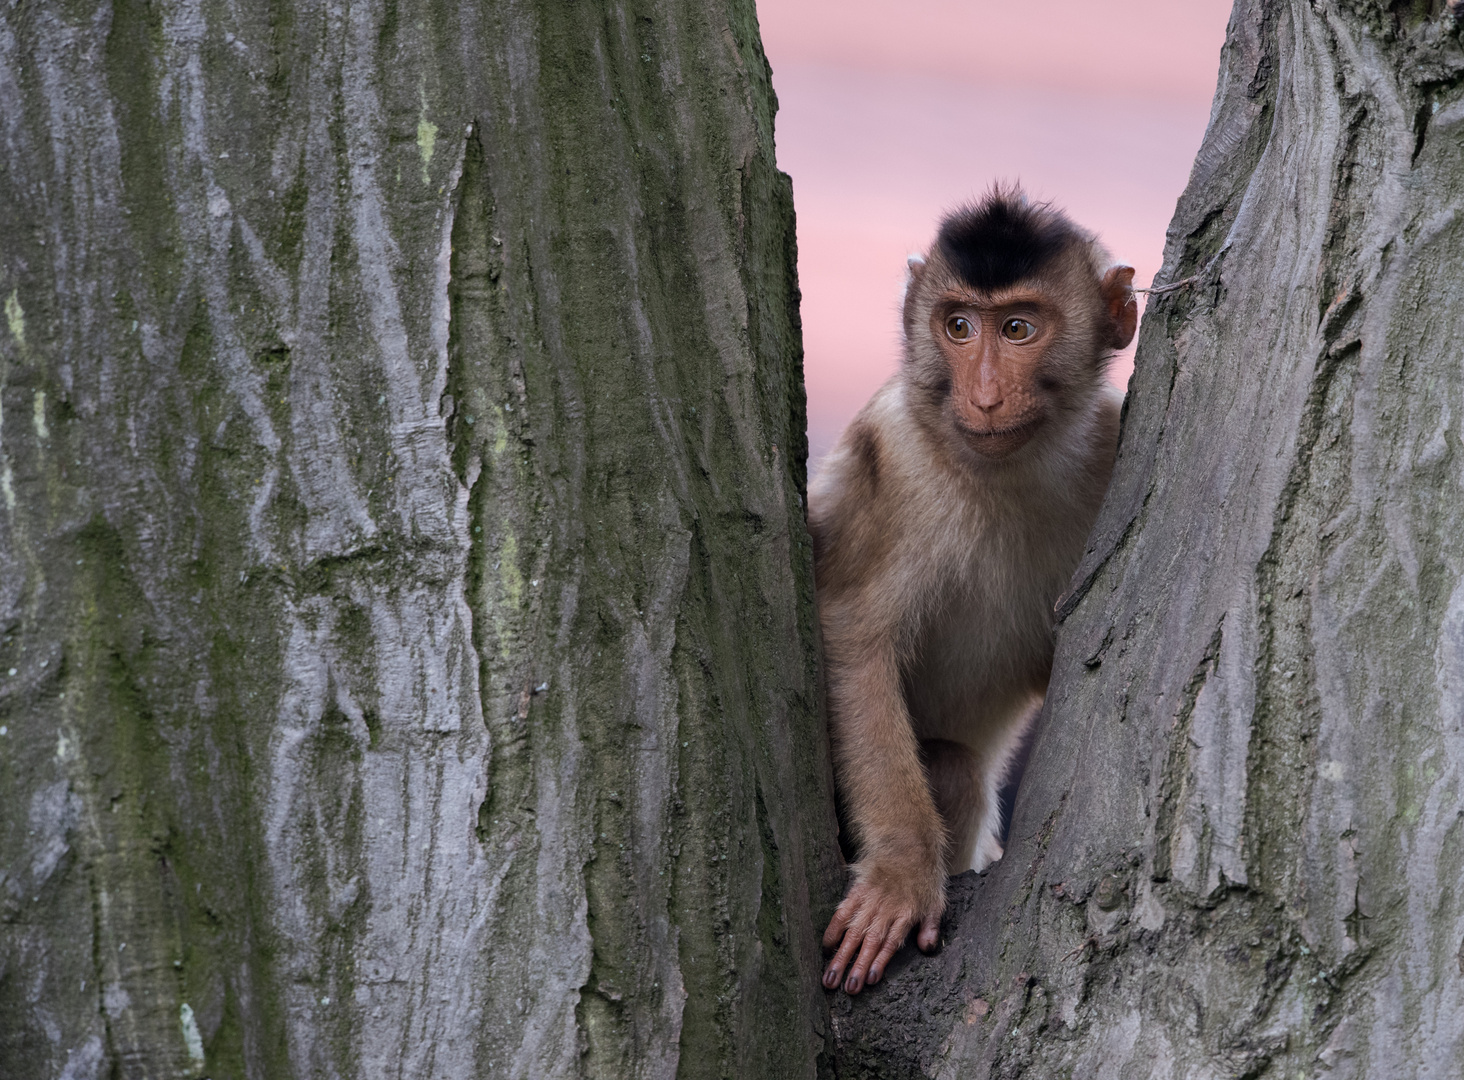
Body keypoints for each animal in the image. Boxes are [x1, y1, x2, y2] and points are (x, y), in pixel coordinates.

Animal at [808, 187, 1136, 995]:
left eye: (1017, 328)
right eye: (958, 326)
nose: (984, 396)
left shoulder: (1111, 442)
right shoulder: (893, 456)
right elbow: (855, 638)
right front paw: (901, 874)